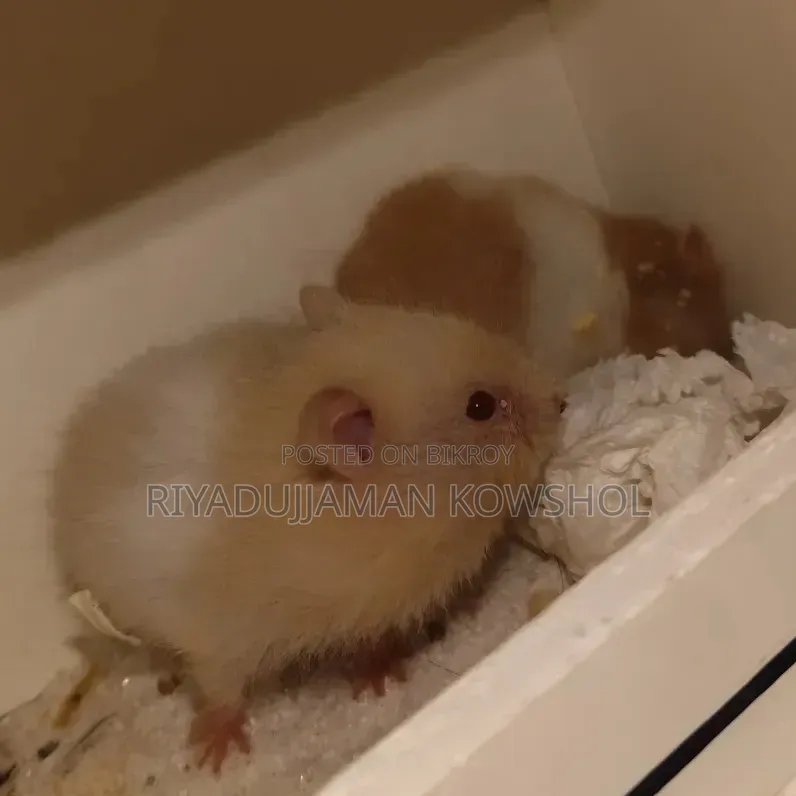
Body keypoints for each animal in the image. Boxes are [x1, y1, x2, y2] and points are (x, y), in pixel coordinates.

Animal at [49, 286, 560, 773]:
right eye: (481, 406)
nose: (560, 400)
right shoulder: (217, 636)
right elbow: (221, 689)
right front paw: (214, 755)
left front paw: (380, 680)